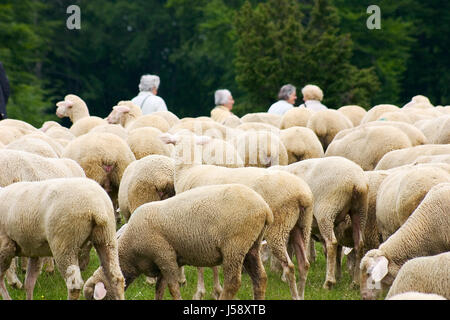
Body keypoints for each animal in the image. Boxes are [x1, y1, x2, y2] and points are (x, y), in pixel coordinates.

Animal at [84, 184, 274, 302]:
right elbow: (160, 288)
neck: (130, 254)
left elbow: (173, 287)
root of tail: (265, 208)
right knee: (260, 278)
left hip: (234, 246)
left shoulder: (164, 255)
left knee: (233, 283)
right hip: (252, 246)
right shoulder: (159, 262)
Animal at [162, 133, 312, 300]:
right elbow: (212, 265)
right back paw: (301, 293)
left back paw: (295, 294)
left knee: (290, 267)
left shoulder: (196, 227)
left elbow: (201, 266)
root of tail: (302, 194)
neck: (188, 171)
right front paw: (216, 290)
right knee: (304, 264)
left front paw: (200, 292)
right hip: (303, 224)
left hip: (279, 225)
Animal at [270, 156, 370, 288]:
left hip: (327, 211)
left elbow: (286, 247)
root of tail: (357, 181)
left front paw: (283, 276)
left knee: (332, 243)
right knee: (359, 244)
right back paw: (355, 282)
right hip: (359, 210)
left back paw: (329, 282)